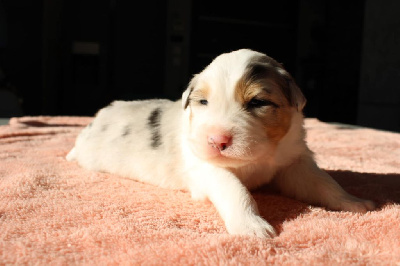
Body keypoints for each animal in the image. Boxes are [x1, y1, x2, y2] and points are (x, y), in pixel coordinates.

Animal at [67, 48, 376, 238]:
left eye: (258, 102)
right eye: (203, 101)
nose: (216, 140)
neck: (257, 158)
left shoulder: (294, 162)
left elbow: (322, 182)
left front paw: (354, 202)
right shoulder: (206, 168)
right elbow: (234, 189)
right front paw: (252, 226)